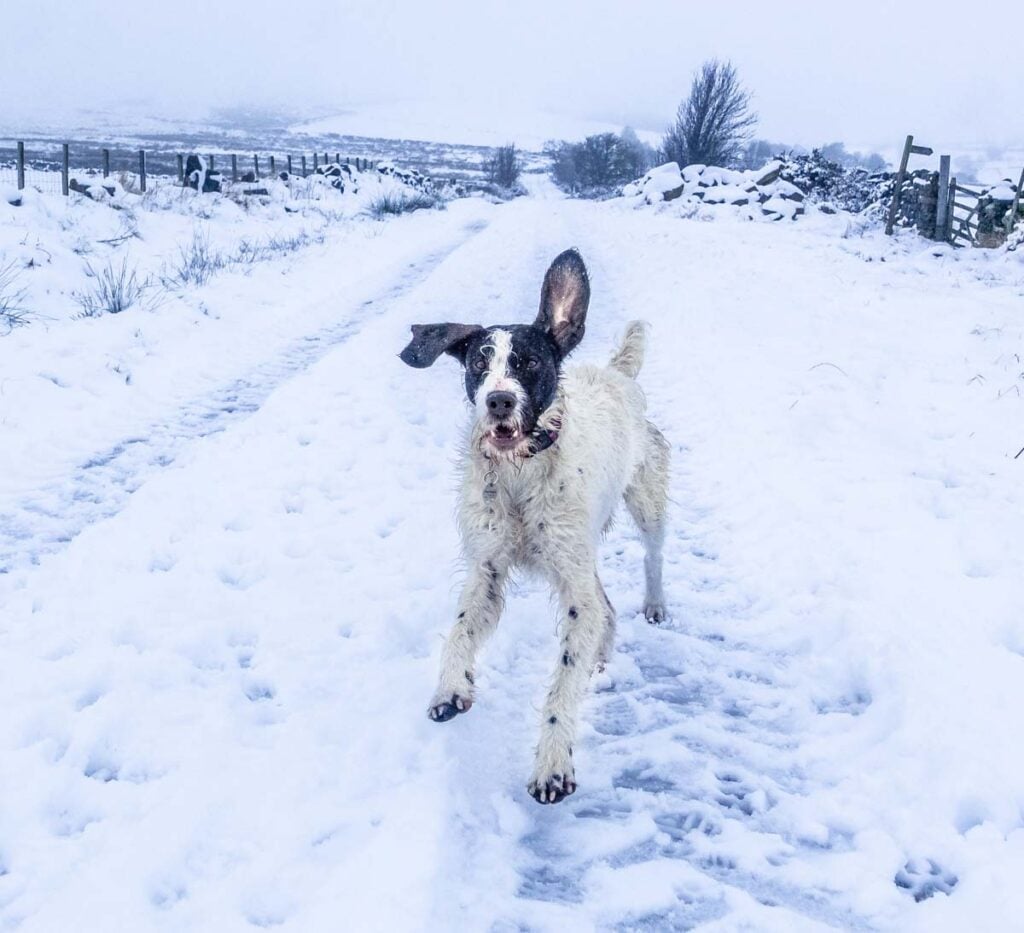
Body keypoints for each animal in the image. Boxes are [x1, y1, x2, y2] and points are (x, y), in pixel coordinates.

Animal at [399, 247, 671, 802]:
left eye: (529, 362)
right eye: (479, 362)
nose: (498, 400)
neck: (521, 473)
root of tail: (620, 375)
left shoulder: (573, 585)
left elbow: (562, 683)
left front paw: (552, 765)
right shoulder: (487, 568)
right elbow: (460, 631)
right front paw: (451, 687)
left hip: (646, 504)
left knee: (653, 556)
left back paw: (654, 606)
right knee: (606, 607)